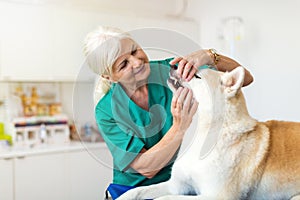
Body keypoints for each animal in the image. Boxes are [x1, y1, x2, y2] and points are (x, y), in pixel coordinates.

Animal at [118, 66, 300, 200]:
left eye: (197, 76)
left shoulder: (215, 196)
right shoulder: (177, 185)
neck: (203, 133)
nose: (173, 65)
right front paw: (124, 196)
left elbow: (165, 198)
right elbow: (137, 190)